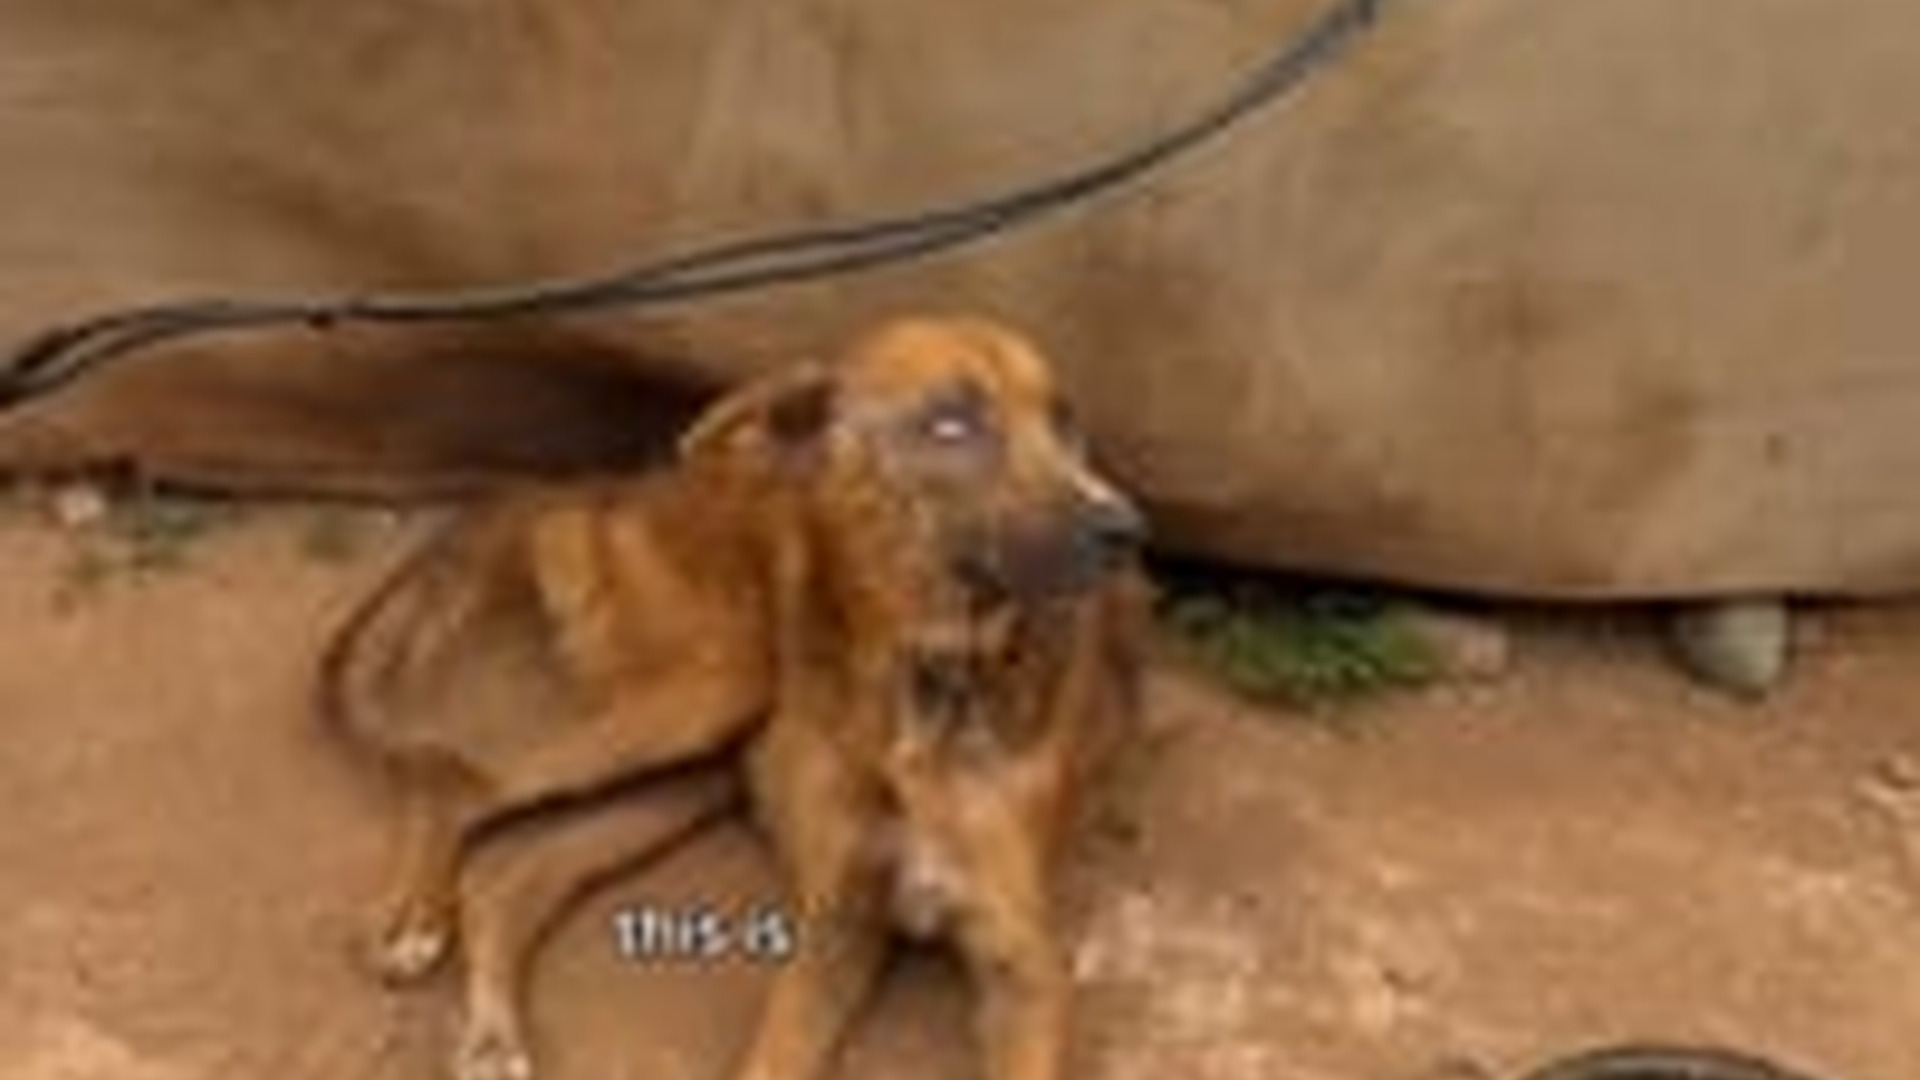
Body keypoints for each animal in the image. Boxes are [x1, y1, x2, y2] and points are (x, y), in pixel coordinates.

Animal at [318, 315, 1150, 1080]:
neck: (929, 676)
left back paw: (493, 1032)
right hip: (704, 692)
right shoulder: (833, 930)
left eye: (1065, 422)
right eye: (951, 422)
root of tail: (616, 484)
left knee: (513, 882)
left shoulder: (1024, 967)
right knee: (450, 779)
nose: (1126, 530)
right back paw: (415, 915)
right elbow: (771, 1060)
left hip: (692, 771)